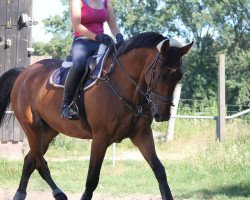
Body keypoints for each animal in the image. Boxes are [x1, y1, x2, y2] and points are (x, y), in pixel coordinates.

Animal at [0, 32, 193, 199]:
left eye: (179, 75)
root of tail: (25, 72)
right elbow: (92, 179)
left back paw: (20, 194)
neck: (124, 86)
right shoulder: (101, 138)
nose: (163, 115)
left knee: (30, 161)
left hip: (48, 131)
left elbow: (159, 171)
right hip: (32, 128)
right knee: (41, 163)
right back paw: (58, 193)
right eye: (160, 75)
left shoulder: (142, 134)